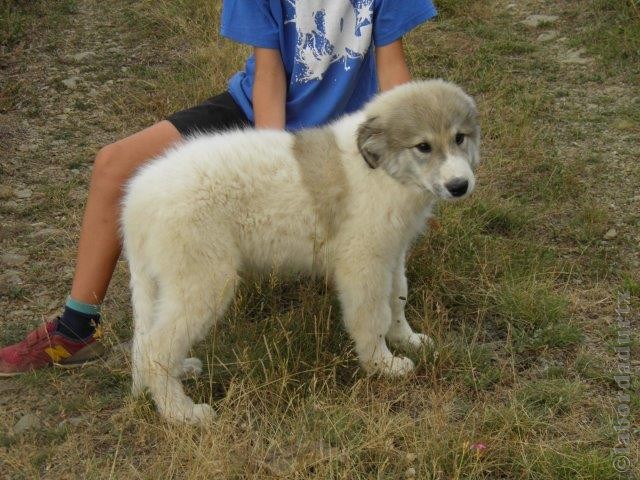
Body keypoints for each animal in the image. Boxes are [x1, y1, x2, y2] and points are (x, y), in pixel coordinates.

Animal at [121, 79, 480, 424]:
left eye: (459, 138)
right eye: (423, 147)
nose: (459, 186)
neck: (382, 171)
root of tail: (137, 200)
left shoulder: (392, 254)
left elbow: (397, 301)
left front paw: (409, 339)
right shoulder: (364, 263)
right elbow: (372, 315)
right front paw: (383, 365)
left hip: (169, 282)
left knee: (149, 340)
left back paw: (180, 373)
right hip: (205, 281)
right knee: (156, 349)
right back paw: (181, 413)